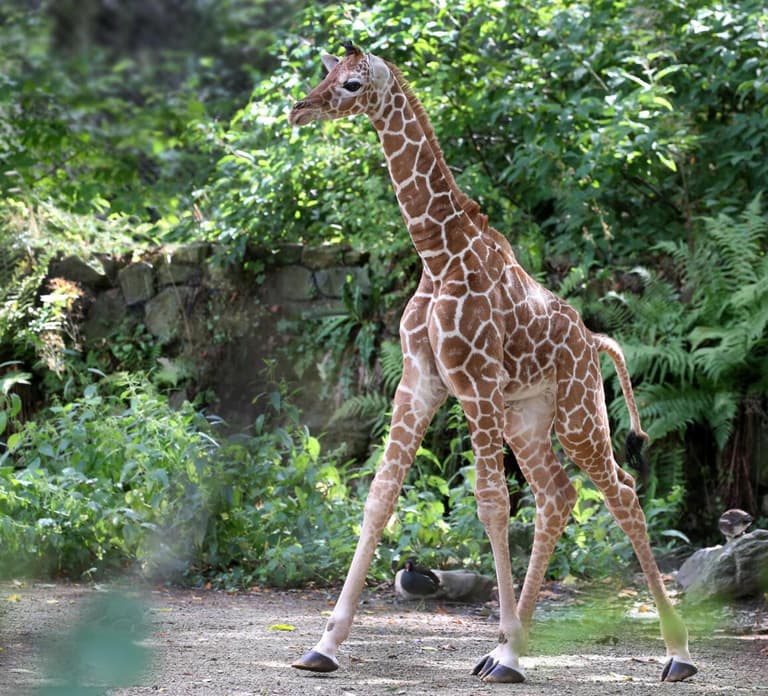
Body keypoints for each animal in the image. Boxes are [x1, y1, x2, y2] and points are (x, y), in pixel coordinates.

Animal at [287, 42, 697, 684]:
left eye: (352, 84)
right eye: (325, 75)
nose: (299, 110)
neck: (437, 253)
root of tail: (593, 342)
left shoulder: (474, 382)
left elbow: (491, 505)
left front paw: (503, 642)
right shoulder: (421, 382)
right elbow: (380, 497)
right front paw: (324, 645)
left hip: (578, 415)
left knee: (623, 491)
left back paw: (673, 654)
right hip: (527, 417)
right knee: (559, 495)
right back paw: (510, 650)